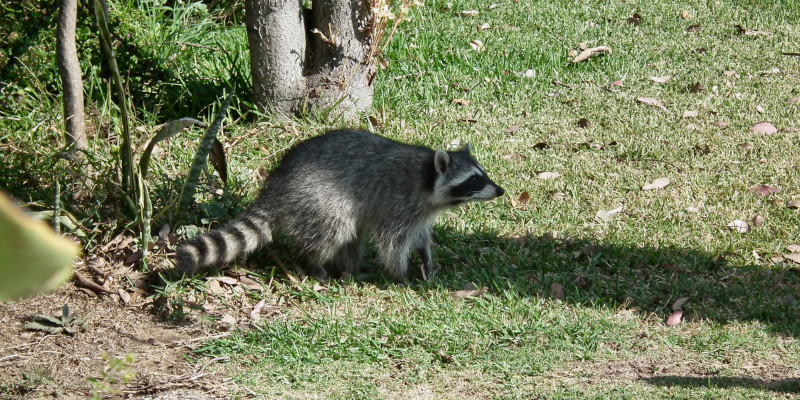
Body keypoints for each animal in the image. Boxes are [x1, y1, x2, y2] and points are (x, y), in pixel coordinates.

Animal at [177, 129, 500, 282]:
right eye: (474, 179)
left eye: (482, 174)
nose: (500, 190)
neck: (426, 175)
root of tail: (275, 189)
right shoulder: (397, 203)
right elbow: (392, 243)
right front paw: (401, 275)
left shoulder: (419, 210)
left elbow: (419, 235)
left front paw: (426, 258)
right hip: (318, 199)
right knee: (335, 231)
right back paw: (315, 264)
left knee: (352, 238)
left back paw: (350, 270)